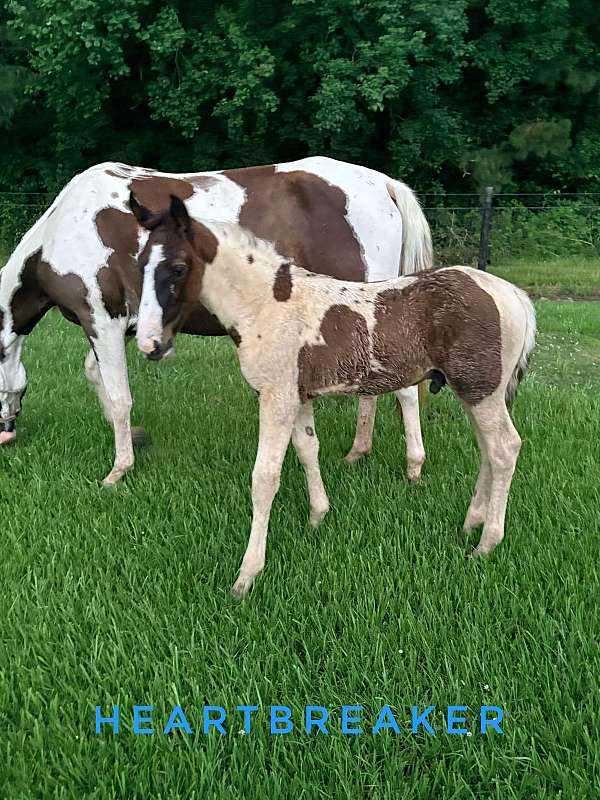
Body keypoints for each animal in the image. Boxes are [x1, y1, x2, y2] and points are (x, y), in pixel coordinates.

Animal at [0, 157, 432, 482]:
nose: (6, 432)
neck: (64, 230)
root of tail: (384, 184)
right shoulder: (125, 327)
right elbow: (97, 377)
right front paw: (136, 439)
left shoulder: (102, 321)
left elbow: (120, 397)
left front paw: (119, 470)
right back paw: (359, 452)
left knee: (406, 390)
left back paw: (413, 467)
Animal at [132, 194, 536, 597]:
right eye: (140, 264)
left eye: (178, 269)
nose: (149, 344)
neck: (266, 305)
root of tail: (515, 295)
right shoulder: (299, 397)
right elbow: (308, 450)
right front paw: (317, 517)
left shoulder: (276, 398)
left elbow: (265, 478)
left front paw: (247, 575)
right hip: (477, 393)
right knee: (488, 450)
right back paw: (471, 523)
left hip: (481, 391)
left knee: (504, 449)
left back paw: (487, 542)